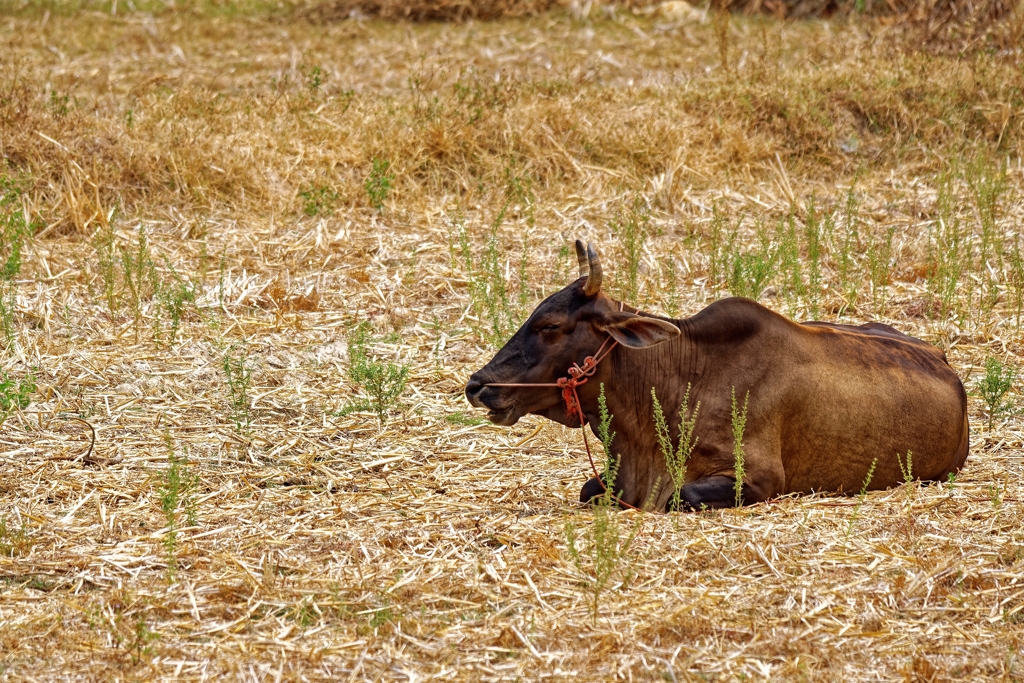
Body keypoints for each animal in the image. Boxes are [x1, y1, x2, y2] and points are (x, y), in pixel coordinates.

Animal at [464, 239, 966, 507]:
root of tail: (943, 359)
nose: (477, 384)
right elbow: (590, 489)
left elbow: (681, 496)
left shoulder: (759, 479)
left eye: (550, 325)